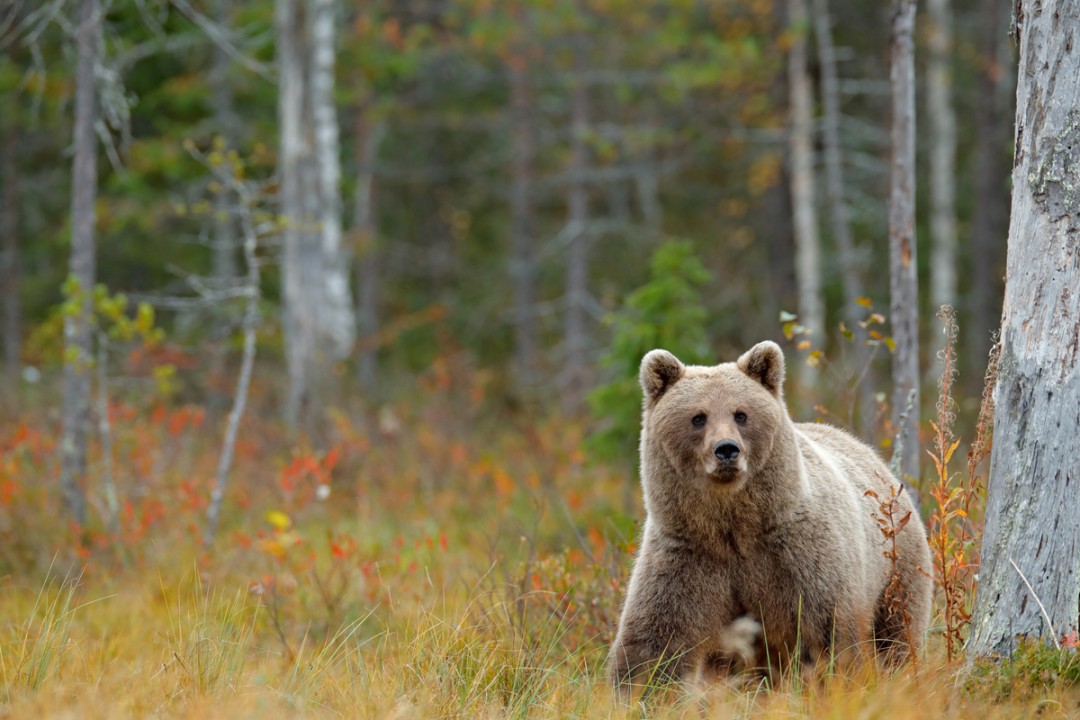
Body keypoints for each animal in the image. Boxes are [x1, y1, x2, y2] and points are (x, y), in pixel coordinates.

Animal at [613, 343, 933, 690]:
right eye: (698, 417)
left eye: (741, 414)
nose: (727, 450)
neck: (734, 527)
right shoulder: (687, 555)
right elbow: (656, 642)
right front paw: (641, 688)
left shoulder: (801, 556)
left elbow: (829, 631)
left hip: (896, 568)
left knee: (897, 634)